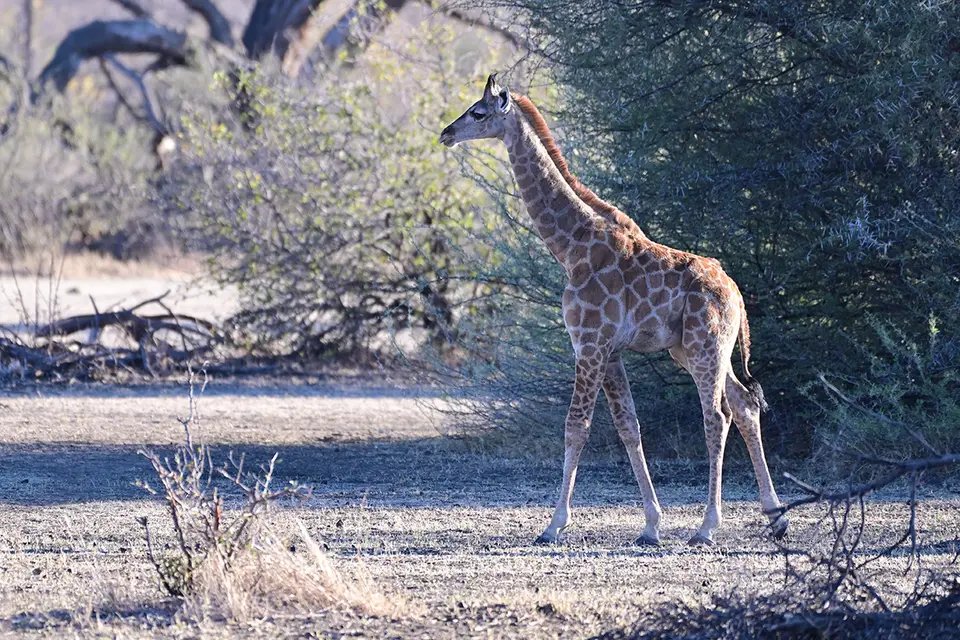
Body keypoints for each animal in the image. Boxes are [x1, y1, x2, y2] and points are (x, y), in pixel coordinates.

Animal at [439, 74, 788, 546]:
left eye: (478, 112)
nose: (446, 133)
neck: (572, 247)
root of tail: (735, 292)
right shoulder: (611, 351)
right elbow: (628, 427)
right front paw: (651, 525)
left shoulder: (588, 344)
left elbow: (576, 427)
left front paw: (553, 525)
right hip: (698, 350)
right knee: (747, 406)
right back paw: (776, 517)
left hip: (704, 348)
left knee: (717, 417)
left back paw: (707, 527)